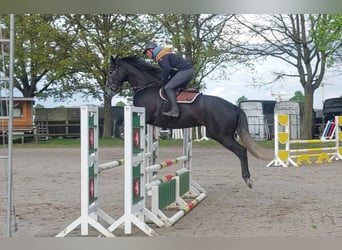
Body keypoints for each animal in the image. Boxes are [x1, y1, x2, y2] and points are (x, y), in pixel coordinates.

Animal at [105, 54, 272, 188]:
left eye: (111, 71)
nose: (108, 91)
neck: (146, 87)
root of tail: (233, 106)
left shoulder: (144, 116)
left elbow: (122, 124)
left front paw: (123, 135)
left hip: (221, 135)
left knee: (241, 151)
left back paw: (248, 179)